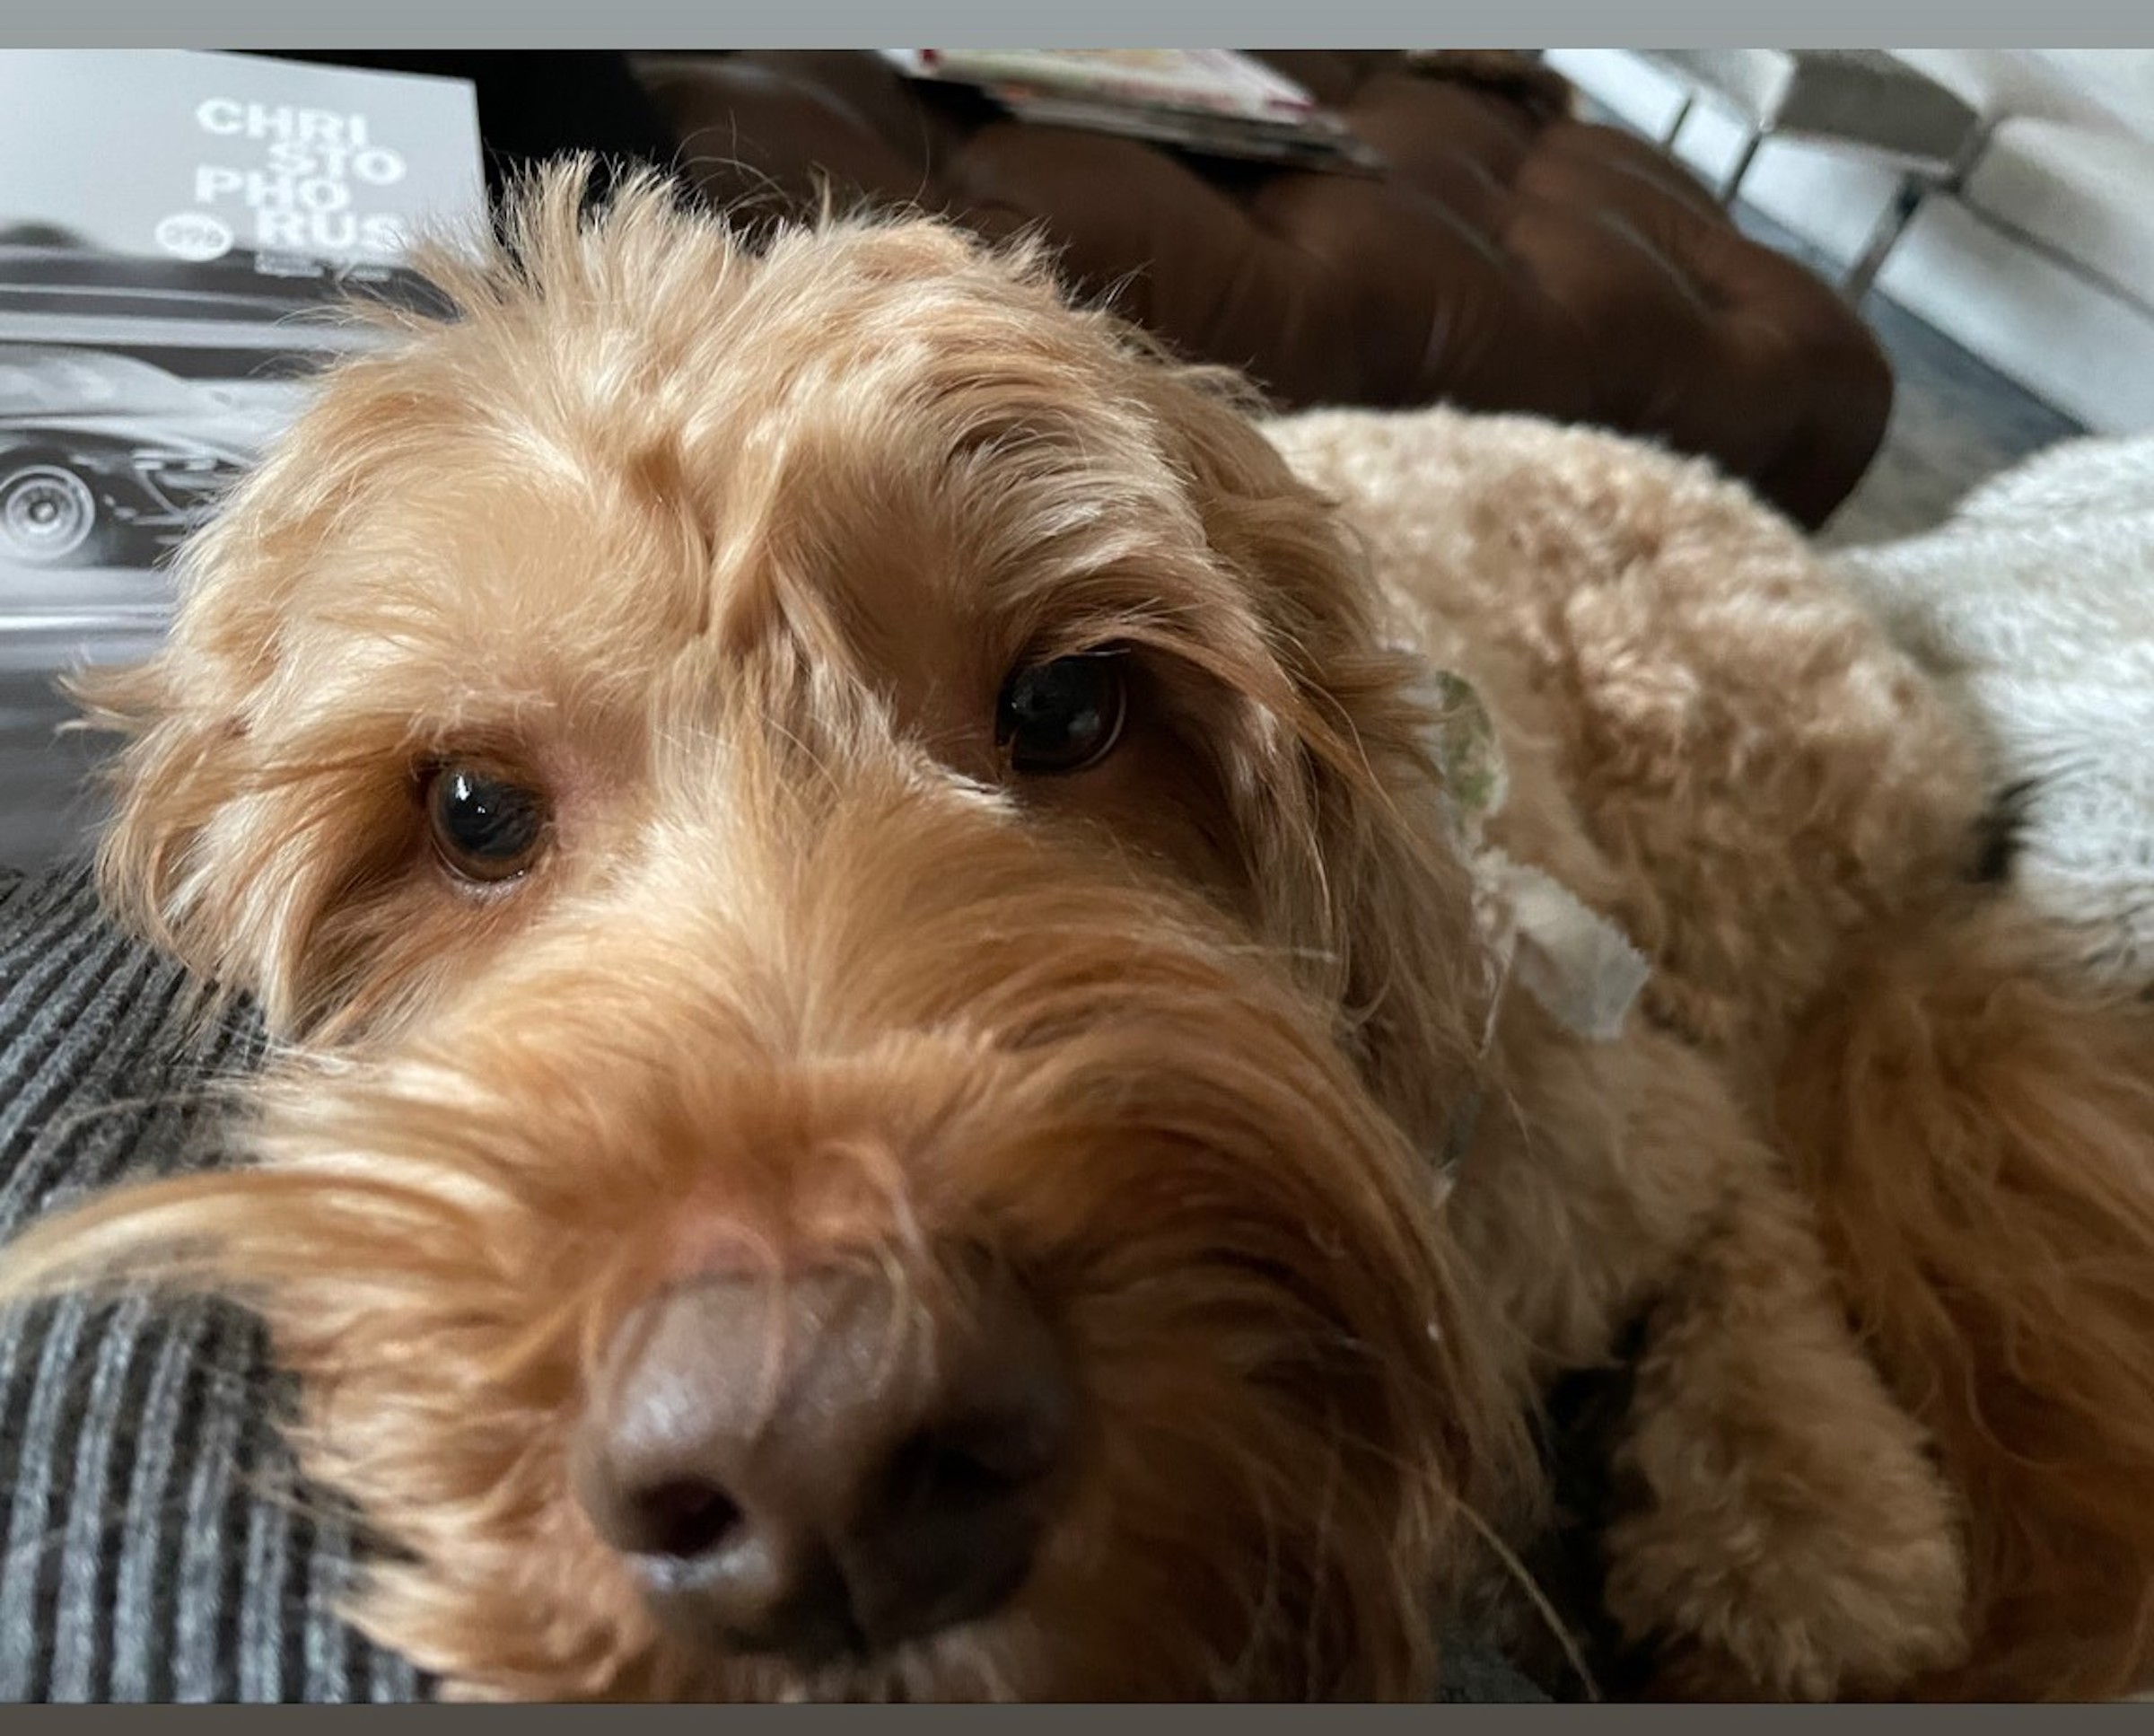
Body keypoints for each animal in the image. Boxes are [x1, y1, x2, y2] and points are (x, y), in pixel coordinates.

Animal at [4, 166, 2154, 1714]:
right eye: (468, 809)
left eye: (1068, 706)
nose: (828, 1458)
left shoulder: (1564, 1109)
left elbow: (1719, 1190)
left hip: (1712, 882)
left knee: (1759, 1165)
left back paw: (1803, 1503)